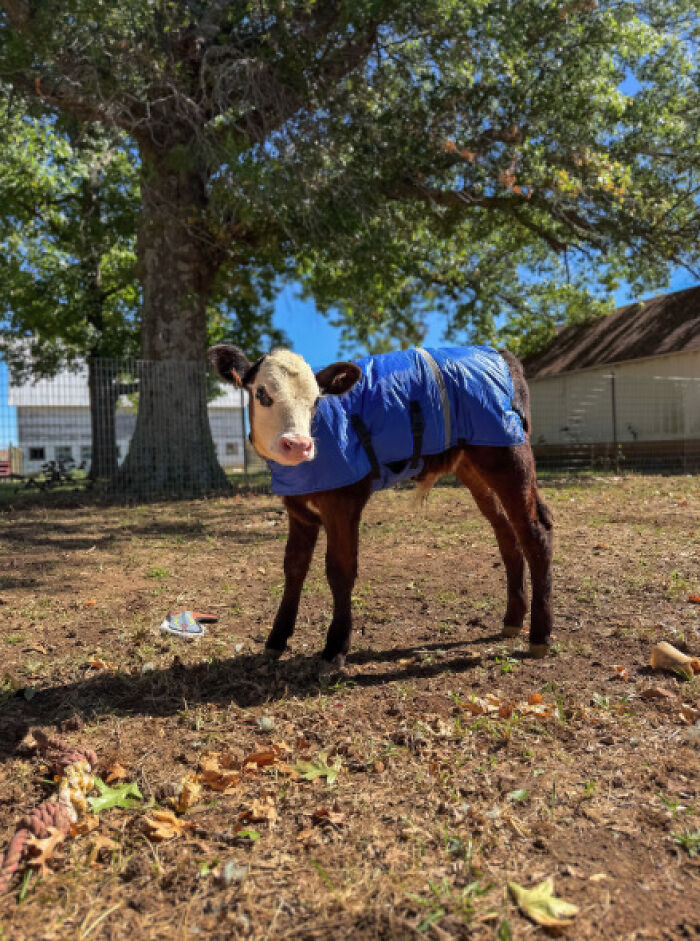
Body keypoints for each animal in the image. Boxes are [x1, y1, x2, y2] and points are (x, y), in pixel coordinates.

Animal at [208, 343, 553, 671]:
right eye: (262, 393)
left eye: (317, 401)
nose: (298, 445)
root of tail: (499, 352)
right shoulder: (298, 508)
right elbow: (294, 567)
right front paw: (276, 640)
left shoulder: (344, 502)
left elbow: (340, 569)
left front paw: (335, 648)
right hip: (472, 465)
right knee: (506, 531)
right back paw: (512, 620)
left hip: (508, 453)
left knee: (535, 532)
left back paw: (540, 636)